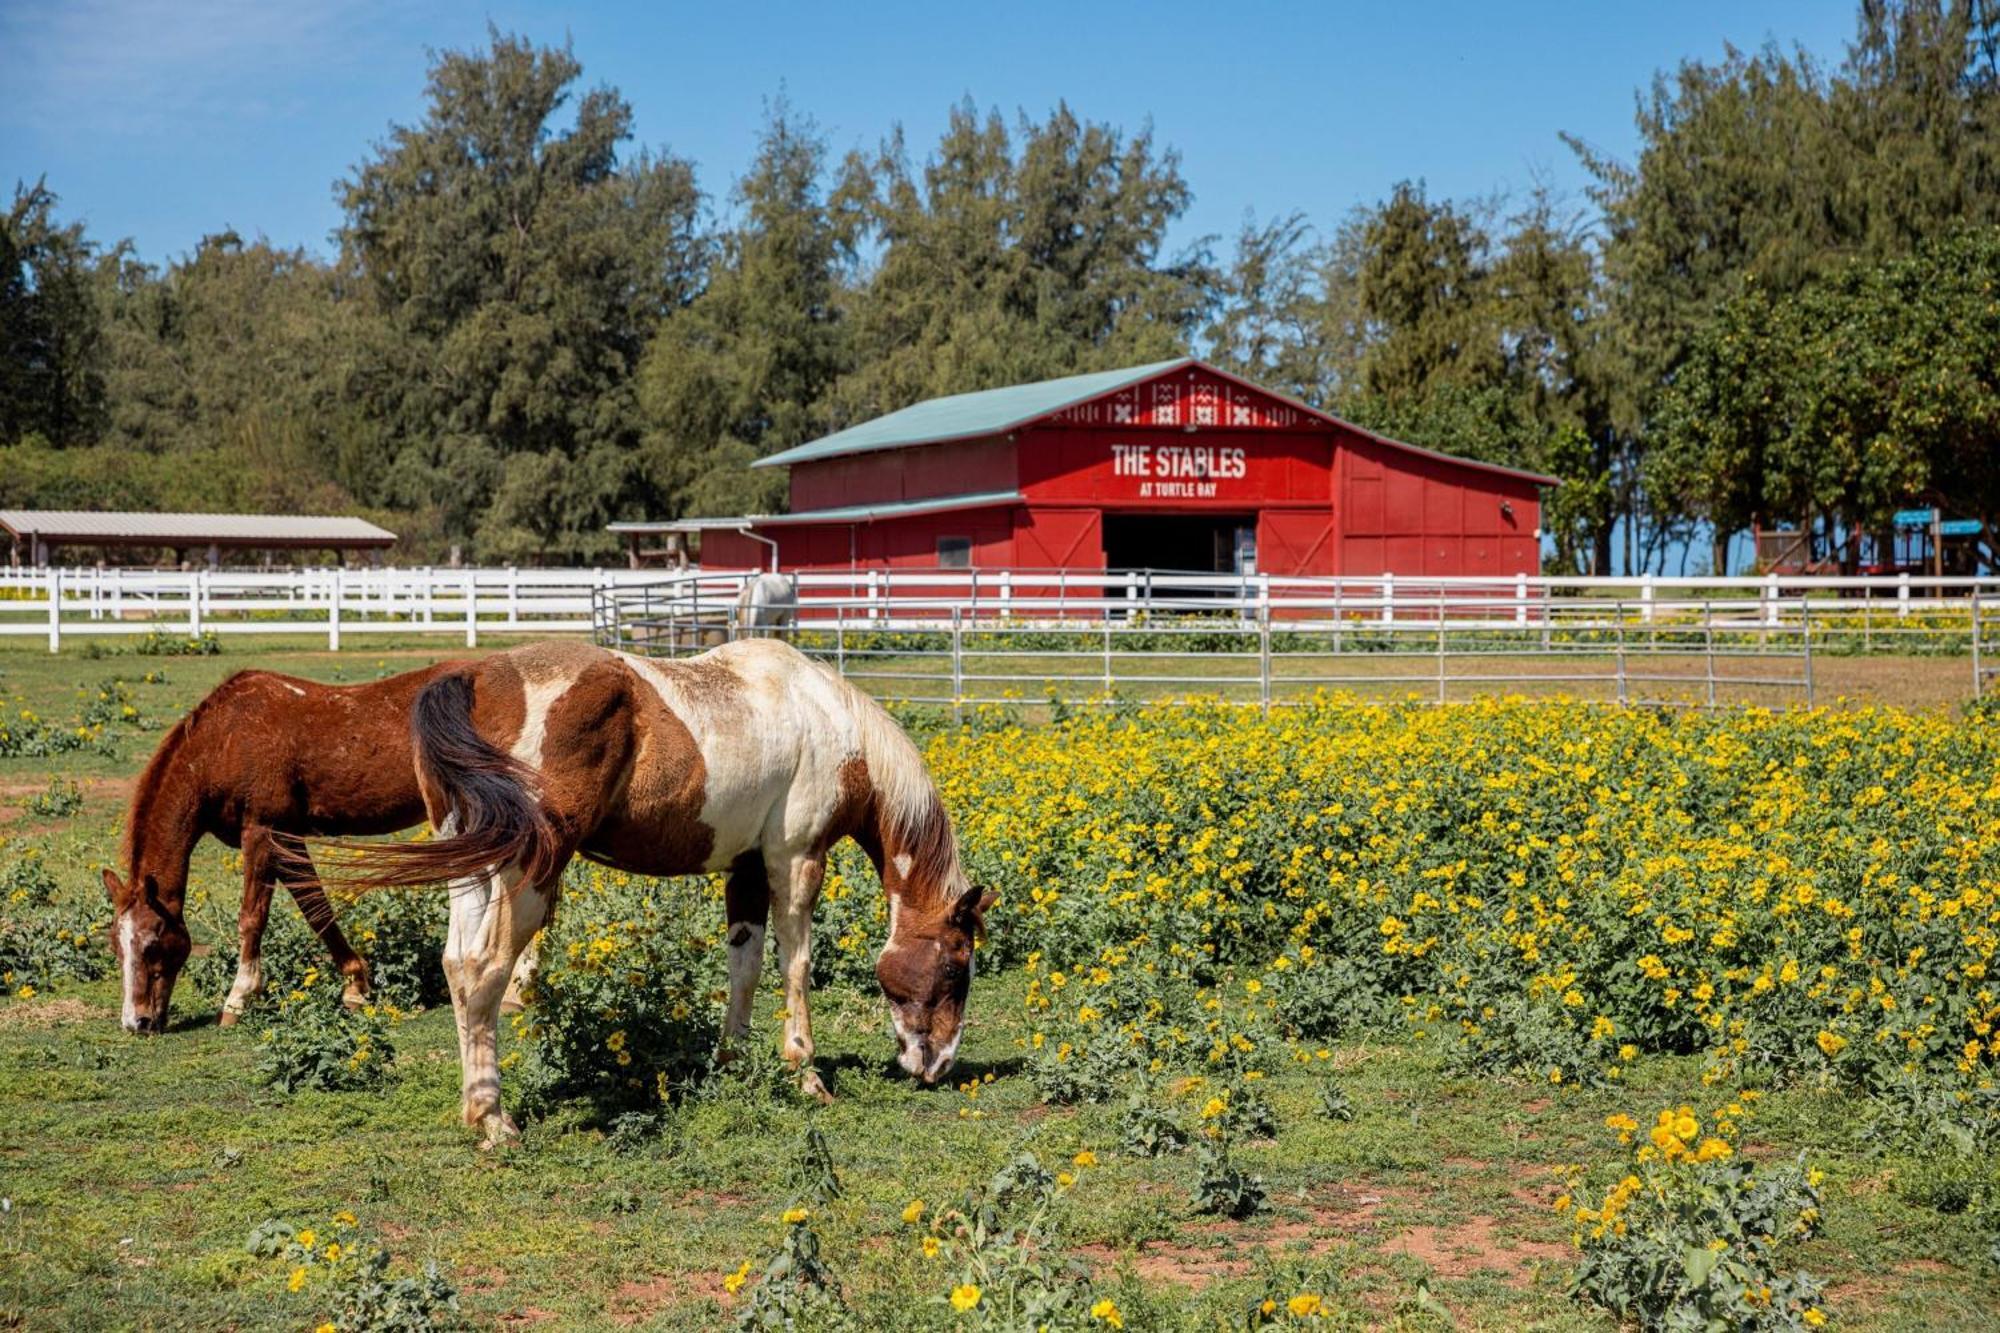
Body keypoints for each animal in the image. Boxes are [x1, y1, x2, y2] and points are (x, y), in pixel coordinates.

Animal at [105, 660, 460, 1024]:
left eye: (151, 944)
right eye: (114, 945)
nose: (136, 1022)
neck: (224, 742)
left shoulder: (262, 834)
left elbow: (252, 918)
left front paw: (238, 999)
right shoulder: (287, 842)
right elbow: (316, 908)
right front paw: (355, 986)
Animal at [332, 632, 996, 1144]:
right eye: (956, 967)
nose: (937, 1065)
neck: (831, 721)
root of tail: (475, 678)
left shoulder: (746, 869)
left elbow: (746, 965)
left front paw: (732, 1060)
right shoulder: (796, 860)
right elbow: (797, 965)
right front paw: (805, 1074)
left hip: (473, 869)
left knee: (457, 965)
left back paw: (476, 1109)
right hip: (528, 874)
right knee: (484, 972)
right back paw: (494, 1119)